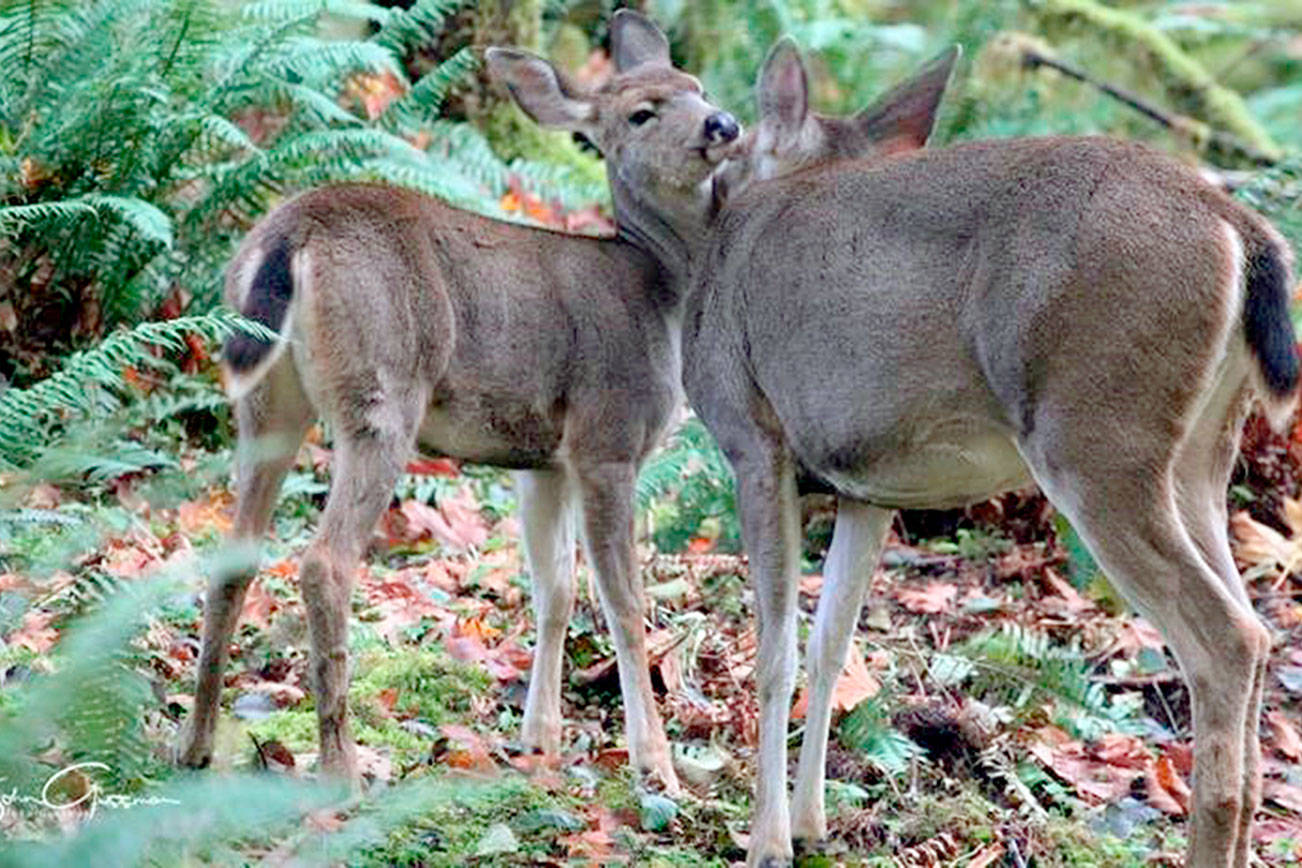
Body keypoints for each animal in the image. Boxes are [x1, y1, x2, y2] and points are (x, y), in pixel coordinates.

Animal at [177, 8, 739, 796]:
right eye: (642, 111)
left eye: (697, 86)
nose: (724, 123)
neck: (659, 290)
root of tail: (289, 236)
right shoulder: (608, 434)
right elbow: (625, 602)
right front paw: (655, 764)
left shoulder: (544, 460)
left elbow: (555, 588)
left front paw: (539, 739)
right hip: (382, 388)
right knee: (324, 563)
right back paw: (342, 768)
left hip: (266, 399)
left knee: (233, 555)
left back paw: (195, 746)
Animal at [677, 37, 1296, 864]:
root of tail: (1239, 230)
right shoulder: (867, 488)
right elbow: (831, 643)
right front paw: (810, 827)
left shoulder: (754, 439)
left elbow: (774, 649)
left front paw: (767, 842)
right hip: (1201, 453)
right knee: (1256, 632)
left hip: (1097, 435)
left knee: (1229, 638)